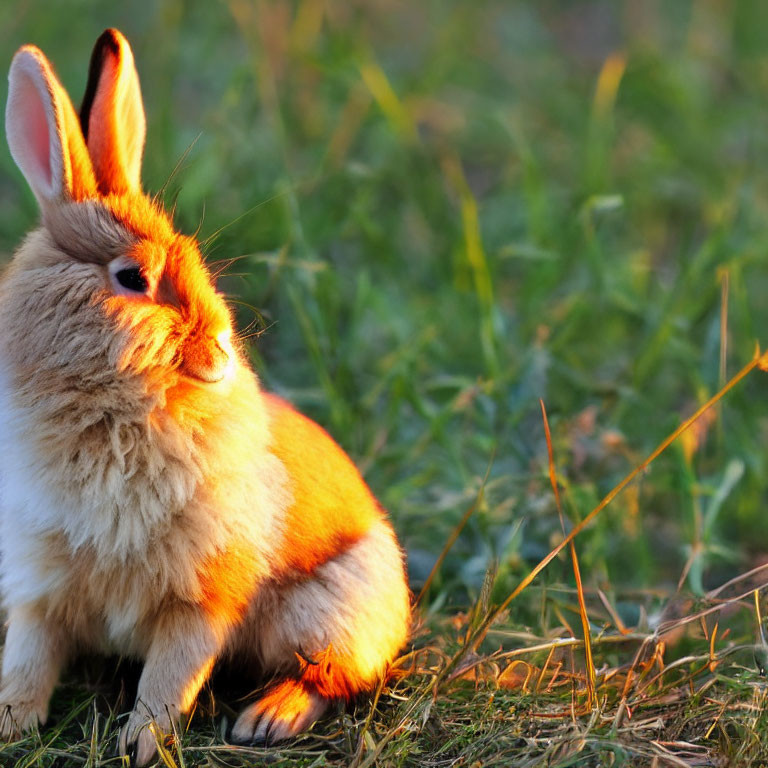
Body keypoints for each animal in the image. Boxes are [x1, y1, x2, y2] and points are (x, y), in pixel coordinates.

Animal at [0, 27, 412, 764]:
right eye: (132, 278)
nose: (219, 341)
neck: (113, 413)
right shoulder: (37, 585)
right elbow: (28, 656)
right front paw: (9, 722)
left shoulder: (203, 596)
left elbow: (171, 676)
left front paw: (142, 746)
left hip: (329, 612)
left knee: (329, 680)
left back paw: (266, 719)